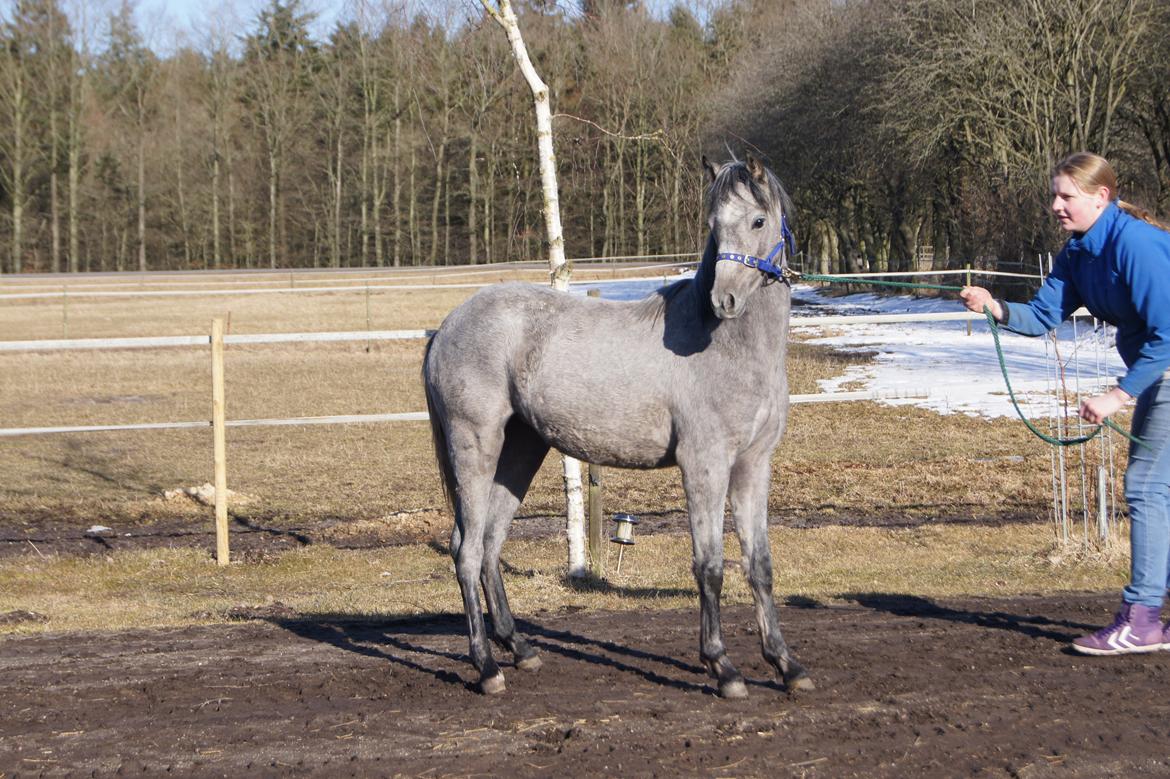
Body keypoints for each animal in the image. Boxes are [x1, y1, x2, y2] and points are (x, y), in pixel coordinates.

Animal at [422, 156, 812, 698]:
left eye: (758, 221)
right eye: (714, 226)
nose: (725, 300)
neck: (730, 348)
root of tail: (446, 328)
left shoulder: (754, 466)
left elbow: (760, 566)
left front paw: (786, 665)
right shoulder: (705, 464)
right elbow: (710, 565)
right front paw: (723, 667)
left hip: (519, 452)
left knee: (490, 546)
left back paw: (520, 649)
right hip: (474, 447)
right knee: (467, 551)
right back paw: (487, 667)